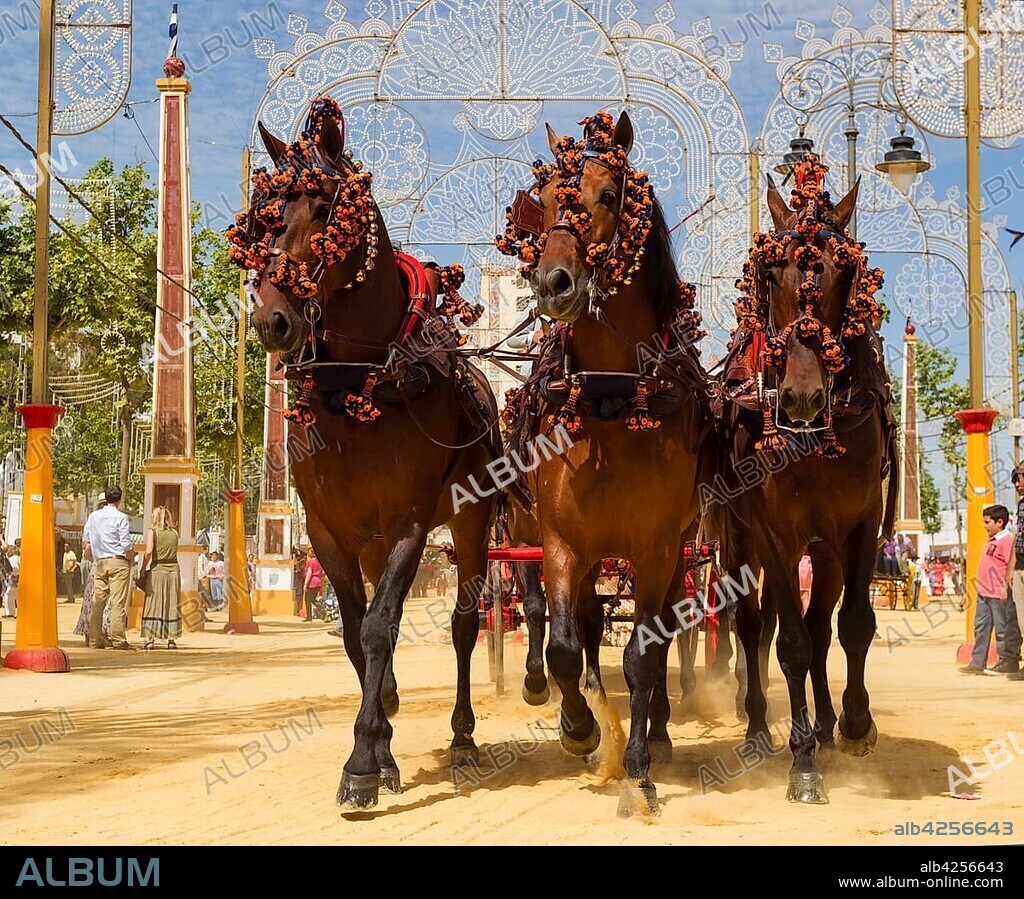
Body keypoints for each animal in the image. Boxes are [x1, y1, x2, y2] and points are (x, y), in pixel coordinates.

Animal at [231, 97, 501, 810]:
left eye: (326, 210)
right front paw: (378, 748)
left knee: (464, 623)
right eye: (265, 216)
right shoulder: (328, 530)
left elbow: (381, 627)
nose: (272, 319)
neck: (359, 380)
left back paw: (462, 738)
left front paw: (359, 764)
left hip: (471, 522)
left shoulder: (410, 522)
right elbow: (357, 635)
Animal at [497, 111, 711, 816]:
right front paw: (580, 728)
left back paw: (660, 733)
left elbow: (645, 654)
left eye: (610, 196)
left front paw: (640, 767)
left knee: (667, 636)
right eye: (544, 203)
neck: (612, 400)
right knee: (583, 628)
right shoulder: (564, 541)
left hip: (679, 551)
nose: (553, 283)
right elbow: (566, 646)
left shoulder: (656, 546)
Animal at [709, 155, 897, 803]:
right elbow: (787, 642)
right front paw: (803, 761)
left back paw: (831, 721)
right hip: (740, 542)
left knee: (819, 627)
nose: (800, 397)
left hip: (826, 550)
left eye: (846, 271)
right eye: (771, 275)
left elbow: (854, 625)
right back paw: (759, 731)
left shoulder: (859, 526)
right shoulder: (775, 534)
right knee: (753, 627)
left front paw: (857, 724)